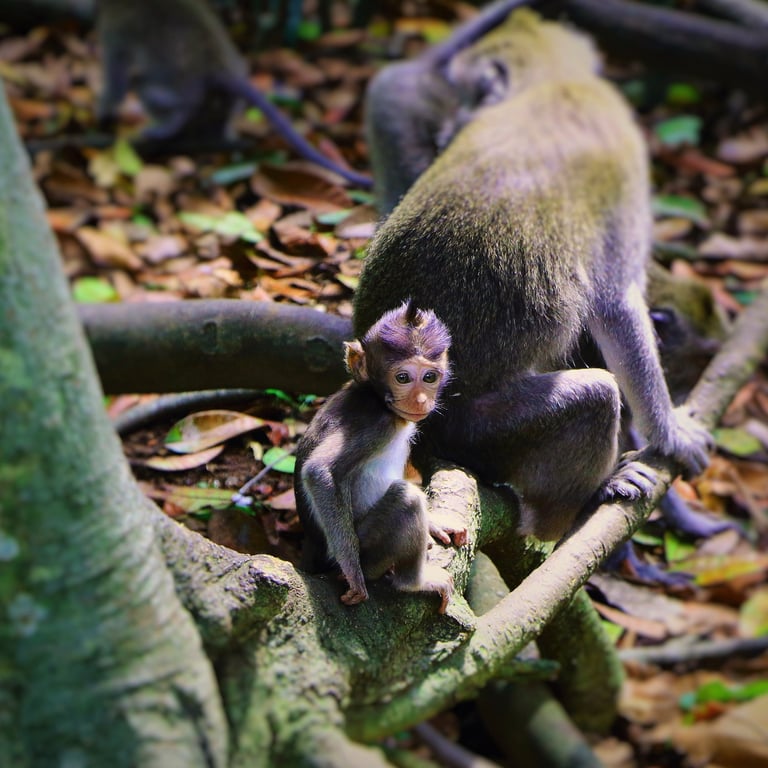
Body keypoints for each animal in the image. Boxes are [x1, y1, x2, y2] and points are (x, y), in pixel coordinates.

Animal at [94, 0, 371, 187]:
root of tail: (217, 67)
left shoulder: (115, 29)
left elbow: (116, 74)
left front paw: (103, 111)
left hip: (165, 88)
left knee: (162, 95)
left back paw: (165, 127)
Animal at [294, 301, 459, 612]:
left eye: (429, 377)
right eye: (402, 377)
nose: (421, 400)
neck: (375, 396)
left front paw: (435, 523)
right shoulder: (375, 423)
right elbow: (319, 472)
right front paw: (354, 578)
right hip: (370, 549)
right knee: (407, 501)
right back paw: (412, 582)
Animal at [354, 10, 712, 543]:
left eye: (467, 95)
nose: (450, 125)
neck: (552, 82)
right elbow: (616, 304)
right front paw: (669, 432)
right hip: (476, 432)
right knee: (596, 396)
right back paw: (585, 502)